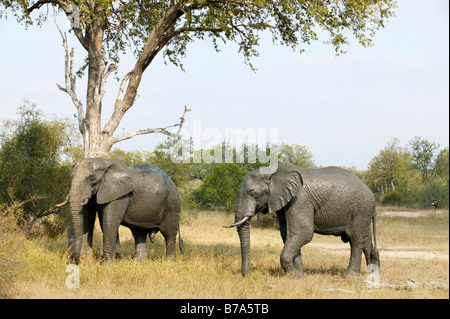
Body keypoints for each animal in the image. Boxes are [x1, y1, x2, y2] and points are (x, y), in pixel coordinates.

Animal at [225, 162, 380, 278]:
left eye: (253, 193)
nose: (249, 275)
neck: (273, 172)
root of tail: (372, 194)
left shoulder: (300, 200)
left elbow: (303, 232)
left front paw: (295, 275)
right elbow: (287, 233)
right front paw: (299, 276)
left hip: (361, 209)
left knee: (356, 238)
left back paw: (350, 277)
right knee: (365, 239)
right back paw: (371, 273)